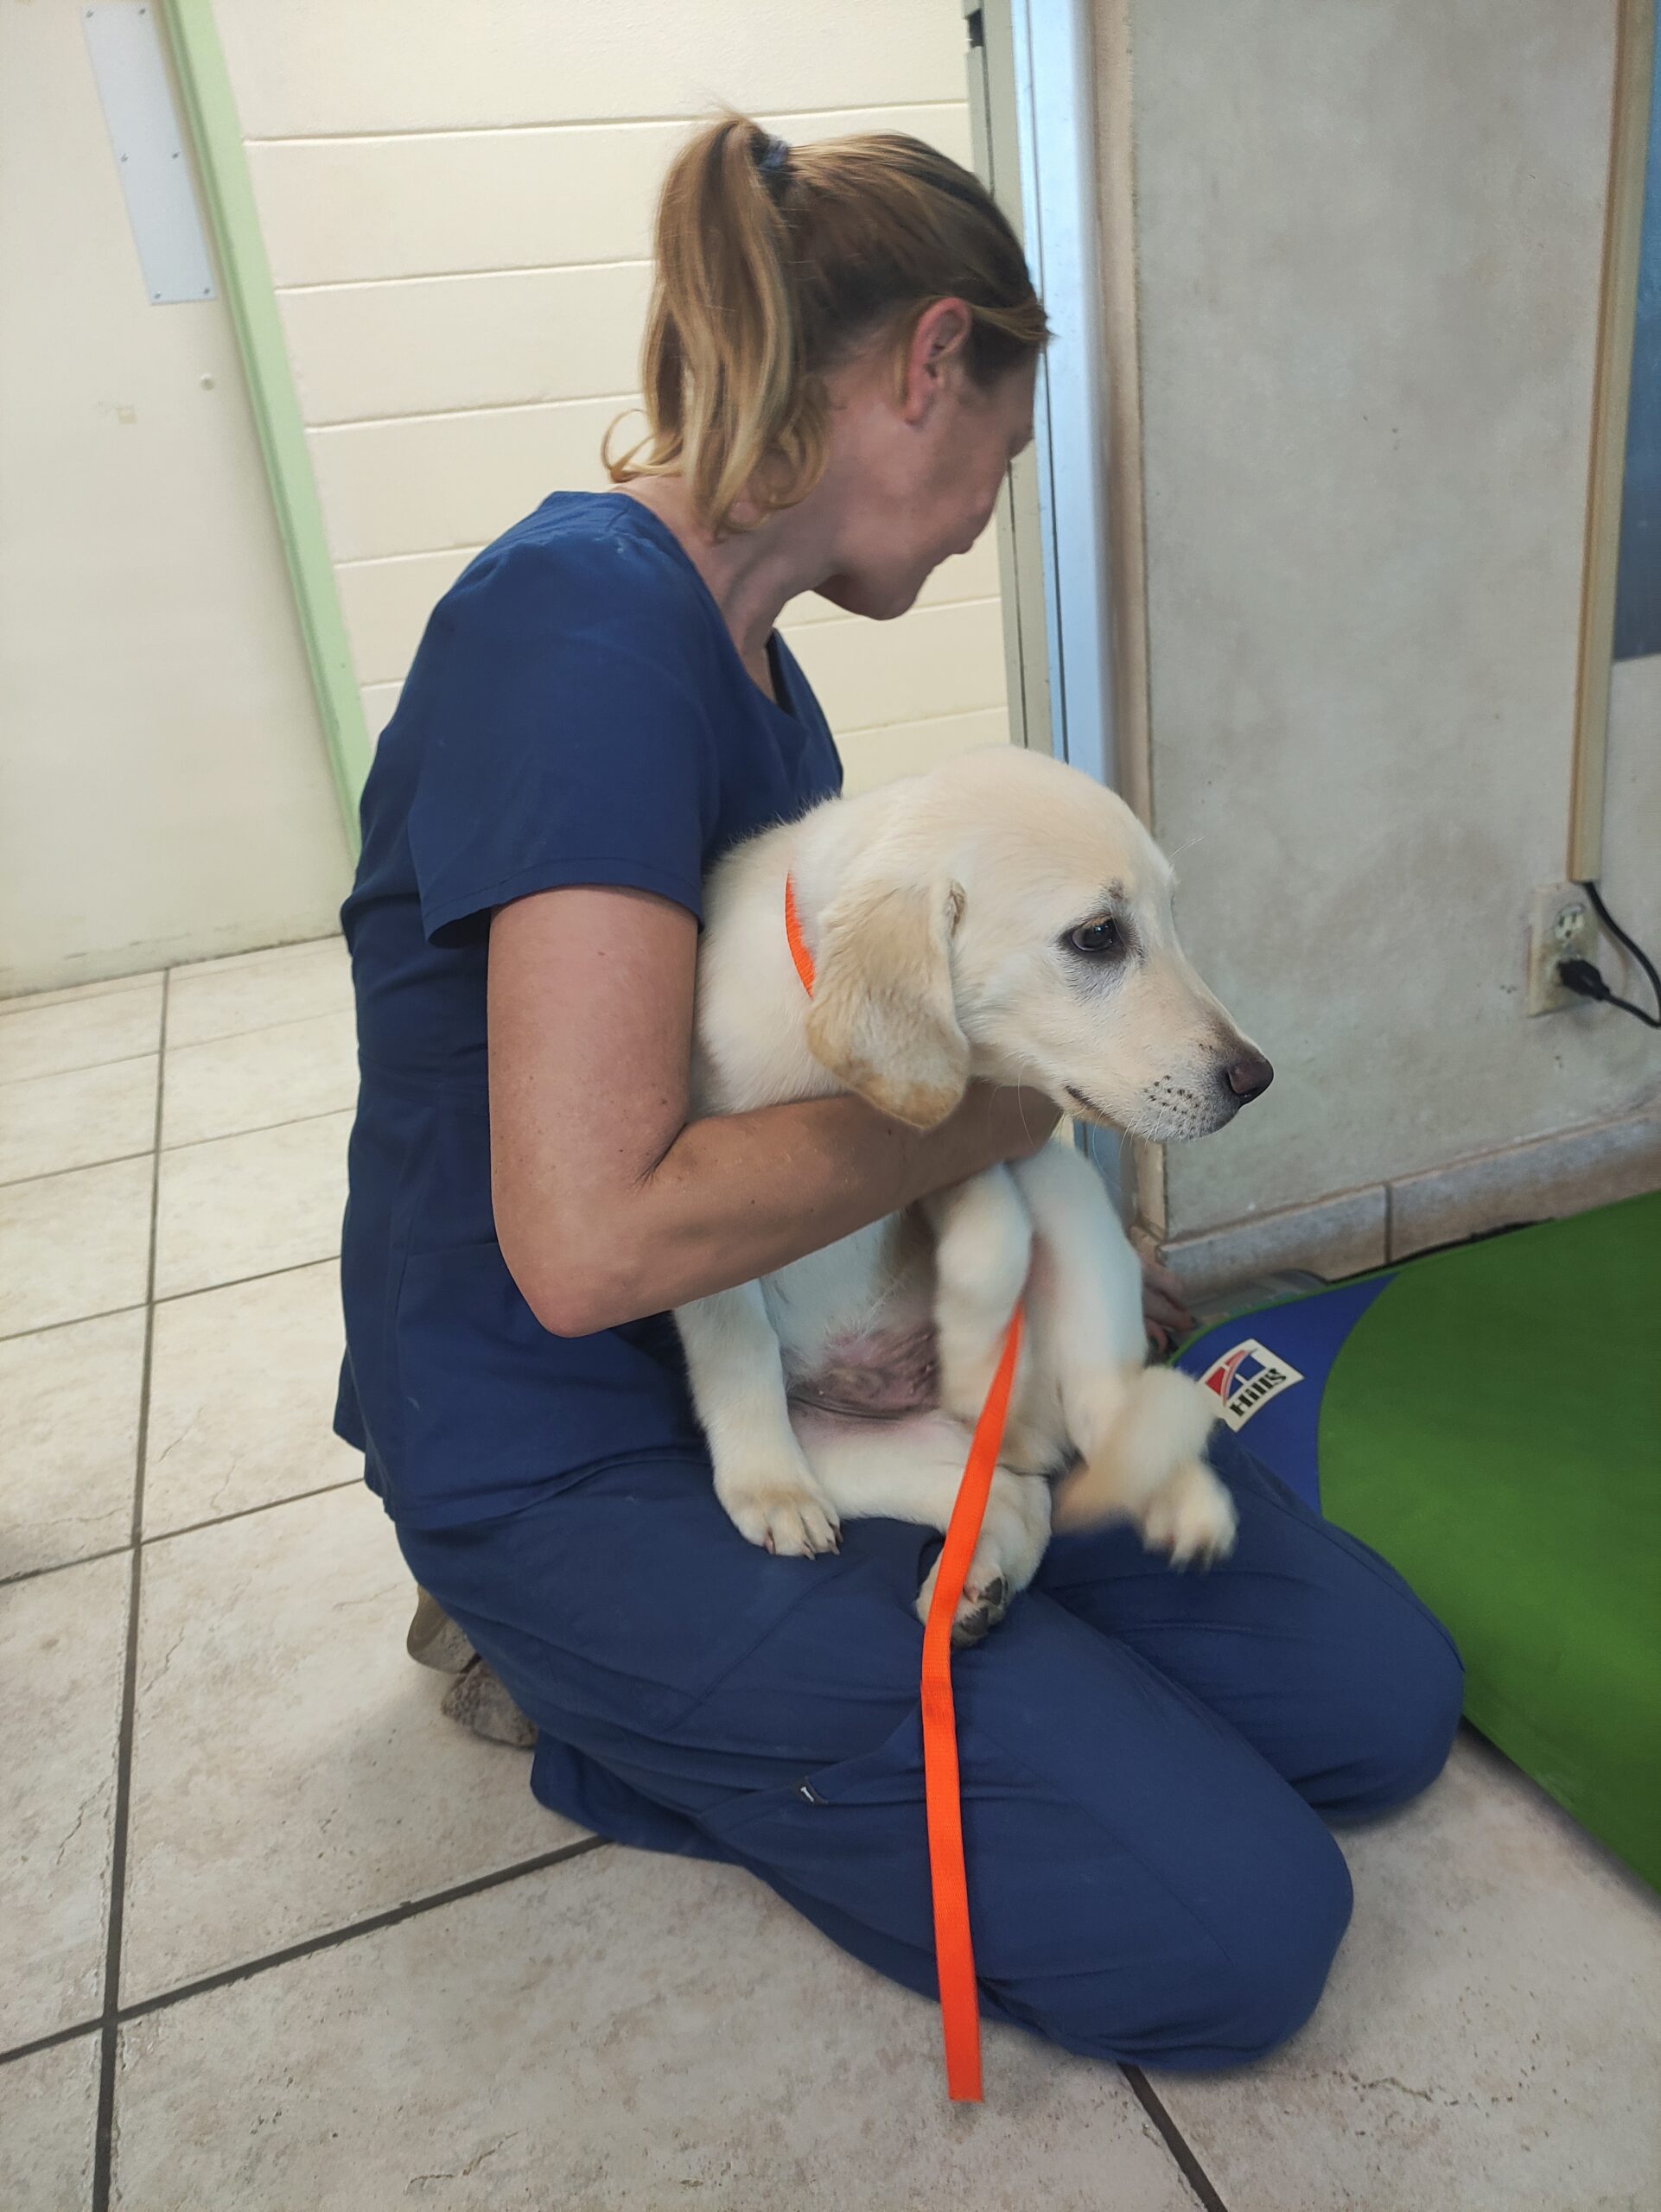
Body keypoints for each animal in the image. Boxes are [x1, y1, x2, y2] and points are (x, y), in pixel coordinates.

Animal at [675, 744, 1274, 1643]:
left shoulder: (965, 1148)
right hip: (858, 1454)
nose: (1256, 1079)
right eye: (1098, 936)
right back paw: (971, 1583)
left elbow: (993, 1236)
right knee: (1015, 1497)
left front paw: (976, 1334)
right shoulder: (703, 1225)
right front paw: (771, 1488)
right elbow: (734, 1342)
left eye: (1170, 915)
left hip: (1067, 1198)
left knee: (1099, 1414)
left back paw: (1163, 1494)